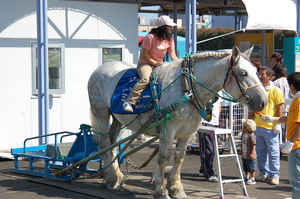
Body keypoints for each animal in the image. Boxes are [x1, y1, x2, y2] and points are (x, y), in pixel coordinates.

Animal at [86, 45, 268, 199]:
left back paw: (113, 175)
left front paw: (175, 188)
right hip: (101, 113)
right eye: (243, 73)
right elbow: (163, 158)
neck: (188, 87)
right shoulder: (169, 129)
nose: (263, 102)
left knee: (113, 143)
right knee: (104, 144)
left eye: (256, 71)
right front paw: (160, 190)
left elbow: (179, 158)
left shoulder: (189, 132)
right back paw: (111, 178)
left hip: (118, 119)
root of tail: (100, 68)